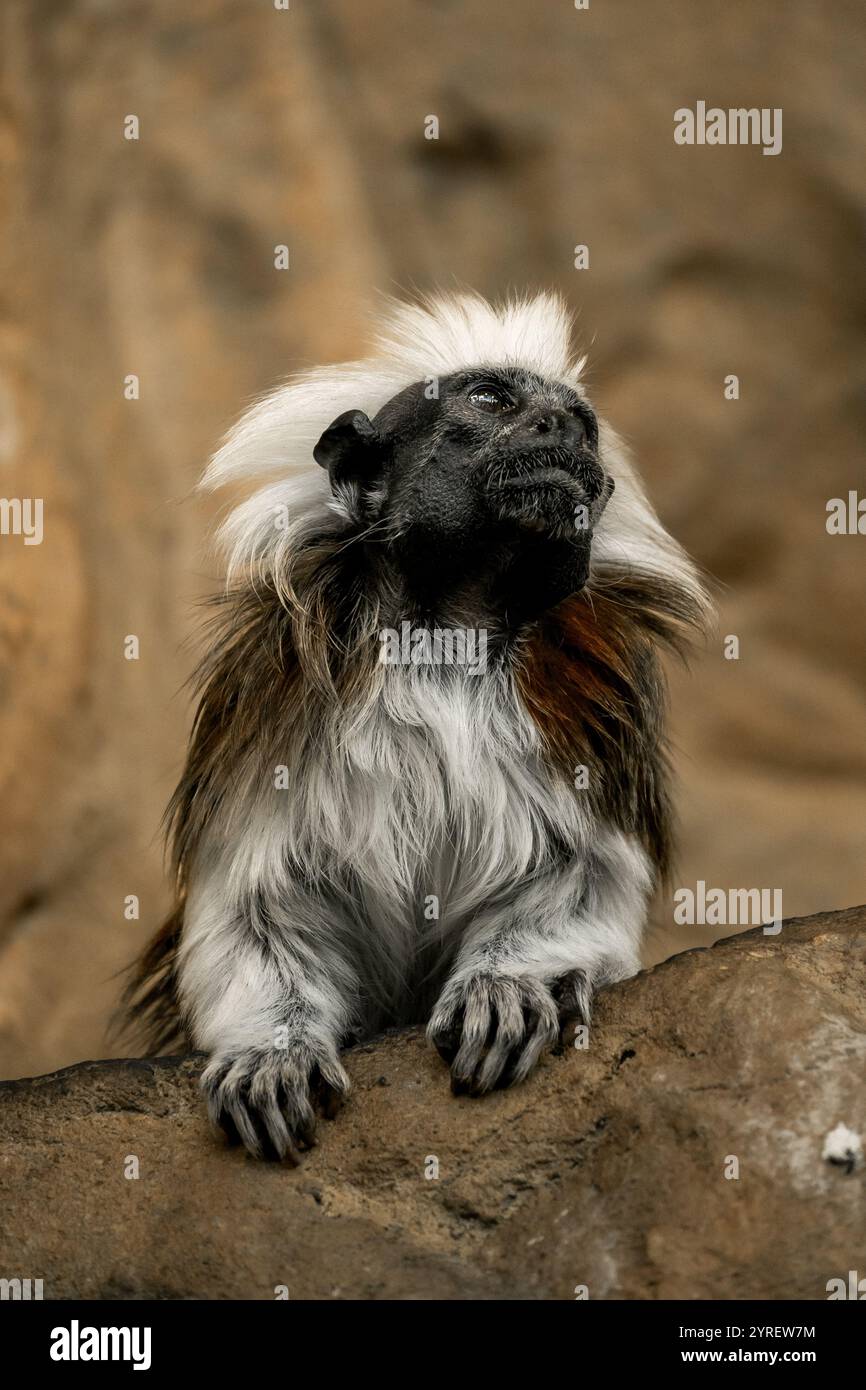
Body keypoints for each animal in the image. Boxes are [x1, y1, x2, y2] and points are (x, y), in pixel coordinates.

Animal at [121, 292, 710, 1162]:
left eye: (580, 426)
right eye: (493, 401)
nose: (558, 431)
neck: (448, 634)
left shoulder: (586, 718)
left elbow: (581, 877)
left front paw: (509, 984)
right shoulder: (272, 711)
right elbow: (261, 906)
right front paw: (273, 1053)